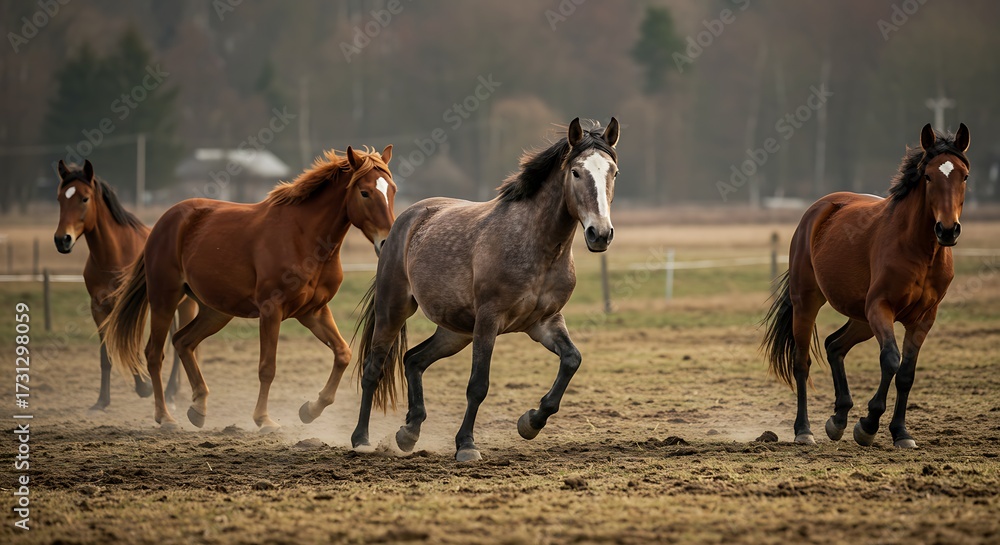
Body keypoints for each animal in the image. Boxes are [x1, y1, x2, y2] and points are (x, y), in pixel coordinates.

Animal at [53, 160, 198, 410]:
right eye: (60, 198)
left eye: (84, 198)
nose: (63, 240)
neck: (115, 255)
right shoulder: (98, 307)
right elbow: (106, 355)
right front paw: (102, 401)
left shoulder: (135, 307)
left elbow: (130, 346)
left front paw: (144, 387)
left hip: (186, 304)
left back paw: (170, 393)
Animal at [101, 146, 396, 432]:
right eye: (365, 192)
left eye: (392, 190)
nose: (386, 242)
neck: (303, 237)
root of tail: (164, 222)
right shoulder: (271, 310)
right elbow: (267, 367)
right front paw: (264, 420)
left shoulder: (313, 311)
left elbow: (343, 354)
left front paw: (310, 410)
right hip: (164, 298)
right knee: (154, 354)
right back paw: (165, 417)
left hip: (215, 311)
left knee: (183, 341)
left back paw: (198, 408)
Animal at [351, 118, 620, 461]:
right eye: (576, 172)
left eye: (613, 172)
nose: (600, 233)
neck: (537, 246)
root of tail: (406, 219)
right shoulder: (489, 321)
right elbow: (478, 384)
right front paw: (466, 445)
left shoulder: (544, 322)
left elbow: (572, 360)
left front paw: (531, 422)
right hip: (394, 308)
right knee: (374, 369)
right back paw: (361, 439)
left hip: (455, 331)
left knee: (413, 360)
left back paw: (409, 432)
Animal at [762, 123, 970, 448]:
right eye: (928, 176)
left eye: (964, 176)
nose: (948, 230)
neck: (919, 250)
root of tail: (819, 209)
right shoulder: (880, 307)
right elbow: (891, 360)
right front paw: (868, 425)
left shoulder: (923, 318)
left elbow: (907, 373)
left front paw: (901, 433)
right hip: (808, 302)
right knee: (801, 362)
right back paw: (804, 430)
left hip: (861, 318)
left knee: (834, 346)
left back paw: (838, 419)